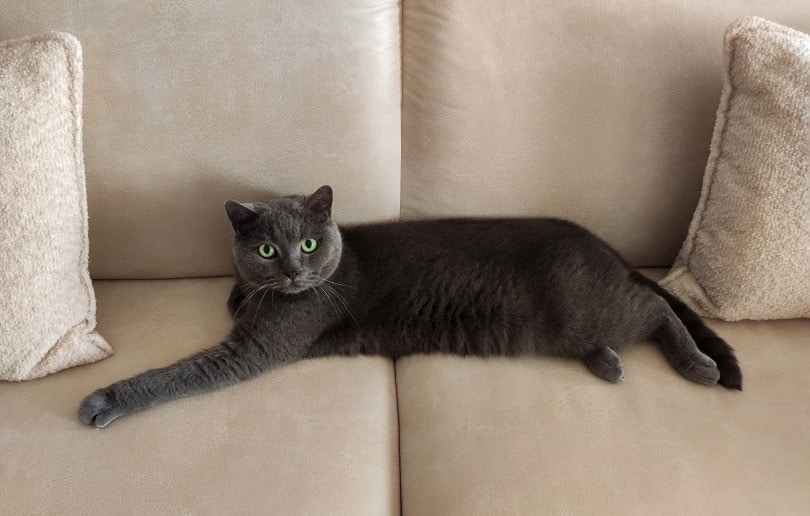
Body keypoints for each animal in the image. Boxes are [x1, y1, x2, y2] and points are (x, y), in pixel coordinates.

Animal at [79, 185, 740, 428]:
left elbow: (180, 374)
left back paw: (698, 365)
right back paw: (607, 363)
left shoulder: (254, 349)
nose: (292, 270)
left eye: (308, 244)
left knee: (658, 308)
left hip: (586, 306)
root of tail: (602, 244)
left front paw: (106, 400)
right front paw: (240, 292)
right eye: (266, 248)